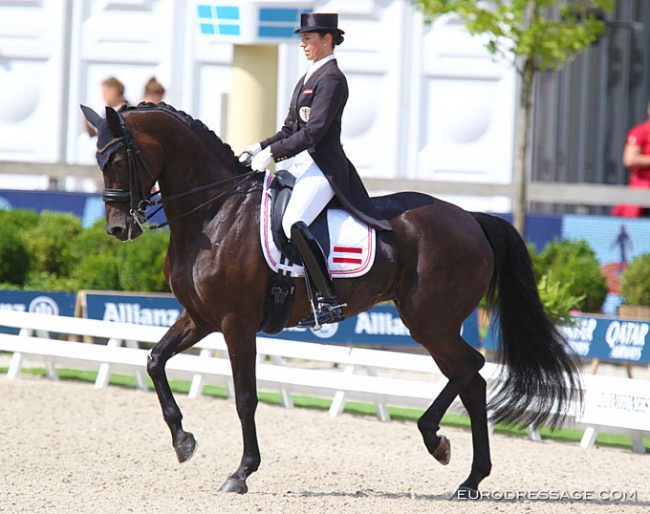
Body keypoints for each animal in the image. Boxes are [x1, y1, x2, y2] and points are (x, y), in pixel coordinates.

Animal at [82, 102, 584, 494]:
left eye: (119, 159)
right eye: (98, 159)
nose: (117, 229)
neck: (215, 212)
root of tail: (471, 218)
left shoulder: (235, 323)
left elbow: (245, 397)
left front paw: (241, 473)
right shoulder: (199, 316)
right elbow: (154, 361)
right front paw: (183, 442)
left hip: (429, 321)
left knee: (471, 369)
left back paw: (442, 448)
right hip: (432, 323)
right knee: (471, 378)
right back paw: (466, 476)